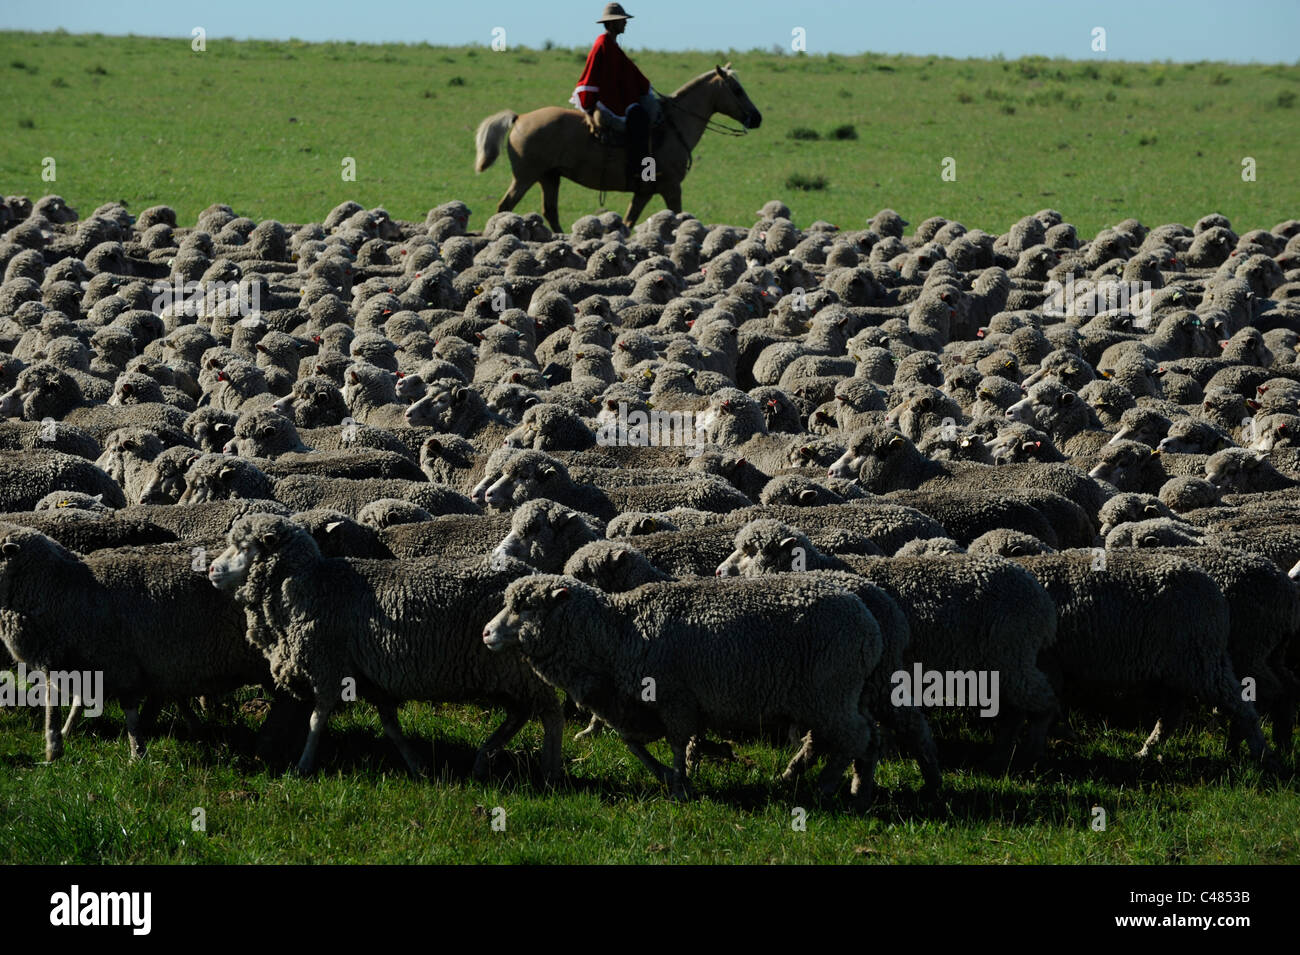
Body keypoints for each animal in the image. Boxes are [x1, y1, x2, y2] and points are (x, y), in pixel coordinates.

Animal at [473, 64, 761, 232]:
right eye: (737, 89)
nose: (756, 118)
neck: (673, 125)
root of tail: (519, 117)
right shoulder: (671, 187)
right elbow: (679, 215)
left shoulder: (644, 193)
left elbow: (628, 222)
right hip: (526, 177)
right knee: (506, 206)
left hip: (549, 177)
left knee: (550, 212)